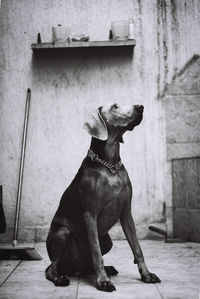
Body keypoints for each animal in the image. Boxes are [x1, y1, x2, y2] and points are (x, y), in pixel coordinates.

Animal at [45, 103, 161, 292]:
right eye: (114, 106)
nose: (140, 106)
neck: (110, 165)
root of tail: (75, 269)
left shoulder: (126, 213)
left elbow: (137, 249)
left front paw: (146, 275)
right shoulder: (90, 214)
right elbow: (96, 252)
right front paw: (103, 281)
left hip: (107, 240)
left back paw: (108, 268)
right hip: (63, 232)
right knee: (51, 268)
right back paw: (59, 278)